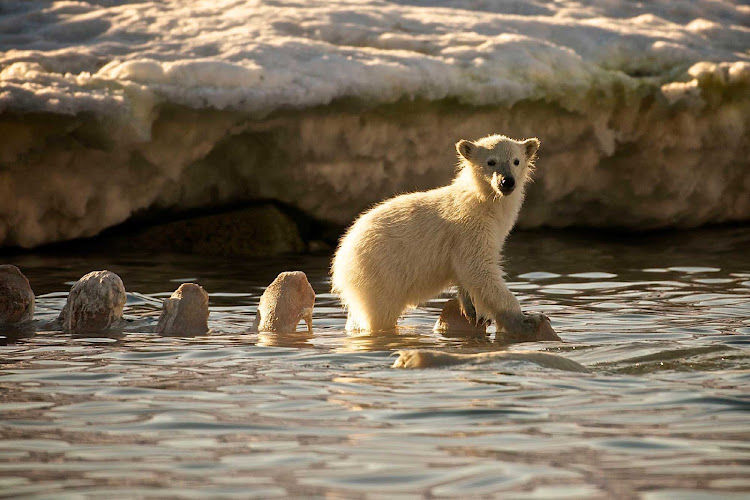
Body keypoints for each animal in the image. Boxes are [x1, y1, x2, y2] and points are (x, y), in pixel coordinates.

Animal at [332, 133, 556, 340]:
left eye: (516, 161)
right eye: (491, 161)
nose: (507, 181)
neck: (480, 201)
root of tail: (341, 259)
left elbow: (467, 272)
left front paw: (473, 311)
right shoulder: (469, 228)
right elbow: (479, 269)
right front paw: (528, 319)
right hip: (378, 272)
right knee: (380, 313)